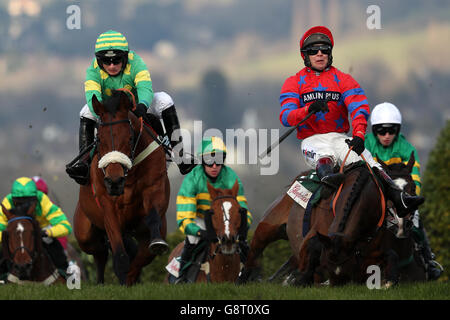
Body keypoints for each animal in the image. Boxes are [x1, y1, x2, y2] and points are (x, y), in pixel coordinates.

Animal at [74, 90, 171, 284]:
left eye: (130, 138)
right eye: (99, 139)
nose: (114, 181)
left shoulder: (154, 188)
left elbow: (144, 248)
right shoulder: (107, 205)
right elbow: (119, 253)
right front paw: (123, 274)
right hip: (84, 233)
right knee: (100, 252)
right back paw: (100, 283)